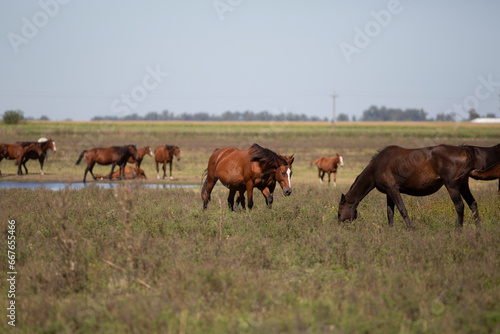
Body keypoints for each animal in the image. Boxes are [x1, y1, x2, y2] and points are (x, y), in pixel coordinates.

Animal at [338, 145, 478, 230]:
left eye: (339, 212)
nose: (338, 225)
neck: (376, 168)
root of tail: (463, 151)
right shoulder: (389, 192)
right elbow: (390, 212)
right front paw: (390, 230)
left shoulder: (393, 189)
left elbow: (402, 210)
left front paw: (411, 229)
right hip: (463, 185)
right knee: (473, 204)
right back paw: (478, 228)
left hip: (452, 186)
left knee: (459, 206)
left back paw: (459, 230)